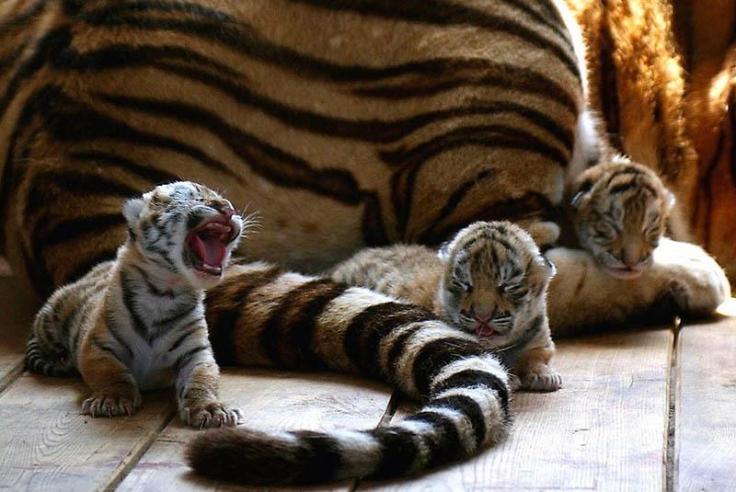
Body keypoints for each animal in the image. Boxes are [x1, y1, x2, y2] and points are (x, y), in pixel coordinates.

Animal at [25, 181, 245, 427]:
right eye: (196, 198)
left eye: (227, 203)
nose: (230, 210)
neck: (165, 291)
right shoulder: (97, 346)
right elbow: (111, 372)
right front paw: (112, 400)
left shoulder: (196, 352)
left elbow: (202, 378)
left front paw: (211, 409)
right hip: (51, 316)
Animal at [330, 221, 561, 392]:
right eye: (464, 283)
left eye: (507, 285)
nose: (482, 316)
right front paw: (512, 378)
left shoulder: (542, 341)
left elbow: (537, 355)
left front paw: (543, 375)